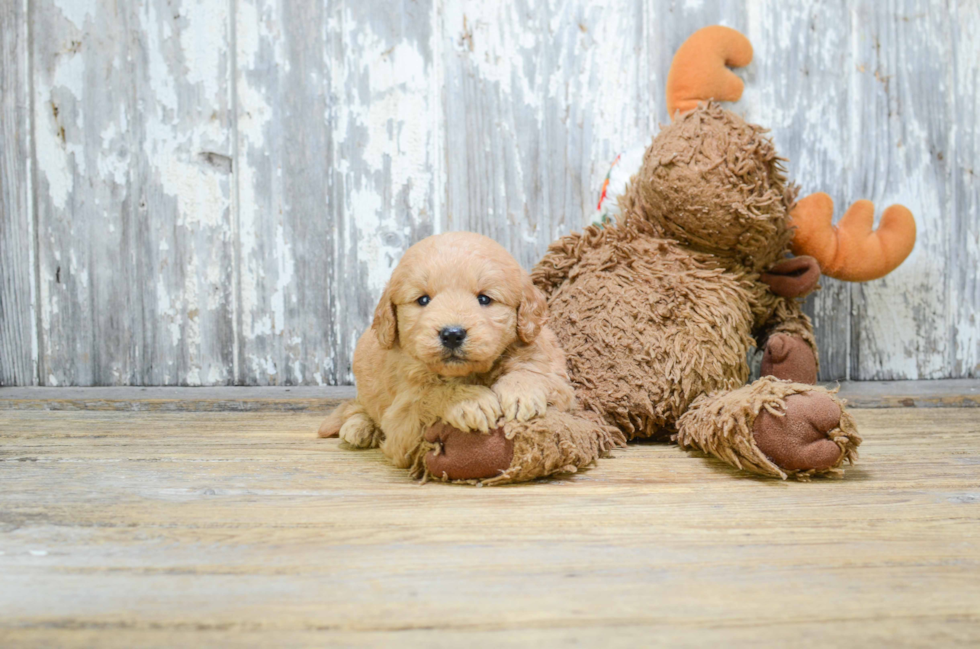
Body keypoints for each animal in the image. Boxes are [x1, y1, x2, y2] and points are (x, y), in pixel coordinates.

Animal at [318, 233, 576, 470]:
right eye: (423, 300)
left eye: (484, 299)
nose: (452, 334)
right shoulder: (401, 422)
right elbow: (429, 394)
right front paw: (468, 401)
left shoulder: (554, 370)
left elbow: (535, 370)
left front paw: (520, 391)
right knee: (358, 406)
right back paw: (359, 426)